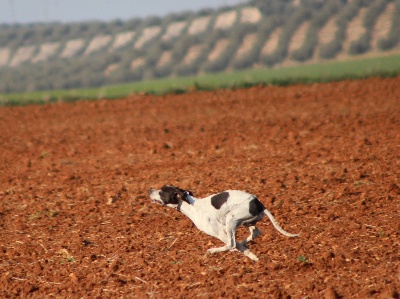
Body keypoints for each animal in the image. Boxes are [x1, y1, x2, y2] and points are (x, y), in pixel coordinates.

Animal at [148, 186, 298, 262]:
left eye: (161, 192)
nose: (149, 190)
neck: (192, 206)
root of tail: (259, 203)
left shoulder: (220, 232)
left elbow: (233, 244)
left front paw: (251, 255)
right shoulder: (225, 231)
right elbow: (239, 245)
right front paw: (253, 256)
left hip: (231, 219)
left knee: (232, 243)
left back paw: (213, 251)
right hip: (244, 222)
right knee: (255, 232)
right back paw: (244, 243)